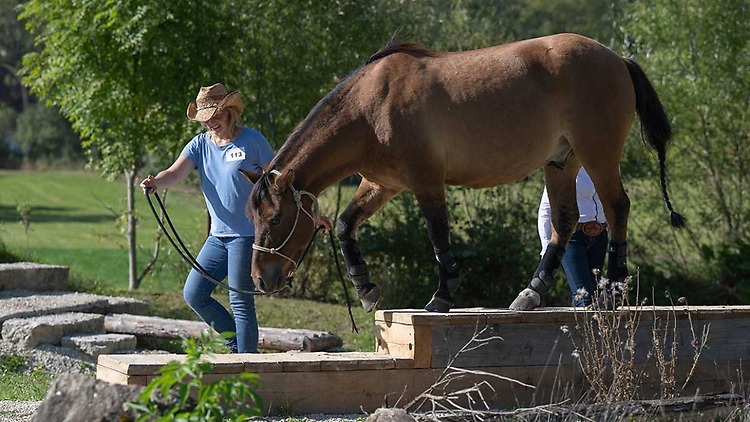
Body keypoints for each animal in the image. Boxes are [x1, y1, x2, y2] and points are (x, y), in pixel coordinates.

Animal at [244, 33, 684, 314]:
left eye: (276, 218)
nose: (261, 280)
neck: (371, 106)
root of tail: (616, 59)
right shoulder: (382, 184)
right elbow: (345, 224)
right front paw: (366, 289)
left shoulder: (426, 181)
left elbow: (439, 237)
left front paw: (443, 296)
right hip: (562, 163)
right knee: (565, 221)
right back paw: (530, 294)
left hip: (598, 154)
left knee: (616, 207)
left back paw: (614, 290)